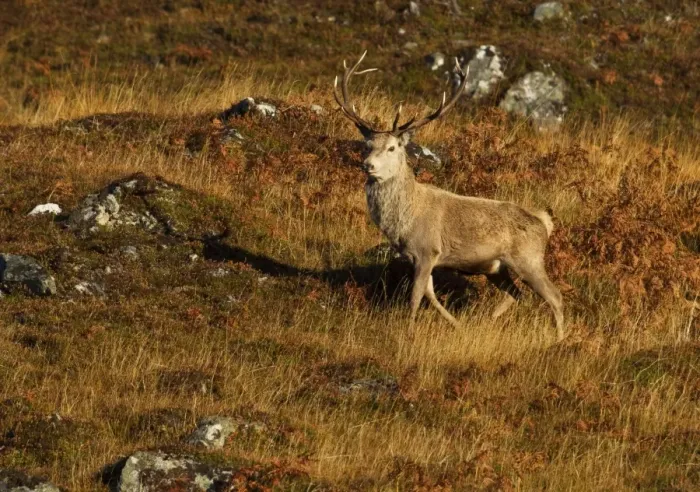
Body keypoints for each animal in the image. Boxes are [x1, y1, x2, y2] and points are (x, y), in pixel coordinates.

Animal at [333, 52, 565, 340]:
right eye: (367, 145)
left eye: (392, 147)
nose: (368, 165)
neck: (405, 221)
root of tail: (544, 222)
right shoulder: (417, 256)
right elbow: (429, 293)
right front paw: (456, 324)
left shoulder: (427, 249)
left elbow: (415, 296)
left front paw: (408, 332)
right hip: (497, 268)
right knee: (516, 294)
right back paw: (488, 320)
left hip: (529, 258)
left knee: (555, 297)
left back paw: (560, 341)